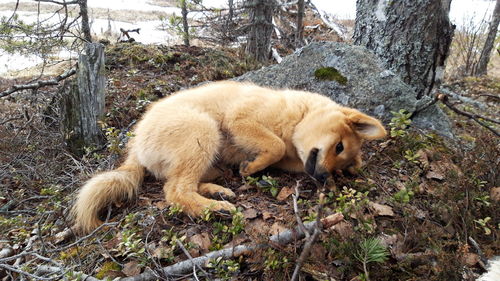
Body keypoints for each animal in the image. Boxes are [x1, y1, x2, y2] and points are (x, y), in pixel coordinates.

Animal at [72, 80, 386, 232]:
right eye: (339, 146)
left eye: (340, 163)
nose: (322, 178)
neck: (300, 116)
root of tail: (135, 148)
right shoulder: (241, 119)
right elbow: (275, 145)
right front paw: (252, 167)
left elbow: (277, 152)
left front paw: (250, 166)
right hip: (203, 130)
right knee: (175, 191)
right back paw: (215, 208)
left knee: (181, 181)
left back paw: (217, 188)